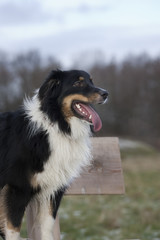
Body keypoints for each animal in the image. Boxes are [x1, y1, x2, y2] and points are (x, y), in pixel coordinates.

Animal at [0, 70, 108, 240]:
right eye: (78, 83)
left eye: (92, 81)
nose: (106, 94)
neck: (56, 126)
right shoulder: (16, 188)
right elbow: (13, 230)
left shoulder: (52, 190)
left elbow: (46, 227)